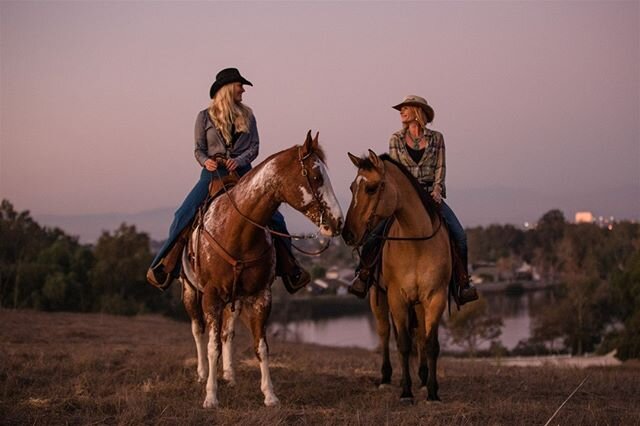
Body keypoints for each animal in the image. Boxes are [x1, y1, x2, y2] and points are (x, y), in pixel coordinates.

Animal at [178, 131, 342, 408]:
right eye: (317, 177)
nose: (338, 222)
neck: (237, 230)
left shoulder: (260, 296)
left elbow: (260, 346)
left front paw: (270, 395)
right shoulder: (211, 297)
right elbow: (212, 346)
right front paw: (211, 396)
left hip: (235, 299)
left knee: (228, 333)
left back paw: (229, 375)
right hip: (191, 292)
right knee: (197, 330)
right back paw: (202, 374)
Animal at [344, 150, 450, 402]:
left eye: (371, 188)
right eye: (352, 187)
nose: (347, 233)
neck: (416, 242)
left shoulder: (435, 297)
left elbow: (430, 344)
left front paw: (432, 391)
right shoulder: (396, 298)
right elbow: (402, 343)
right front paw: (406, 392)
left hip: (419, 303)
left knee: (420, 335)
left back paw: (422, 377)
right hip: (378, 298)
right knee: (384, 333)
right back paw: (386, 378)